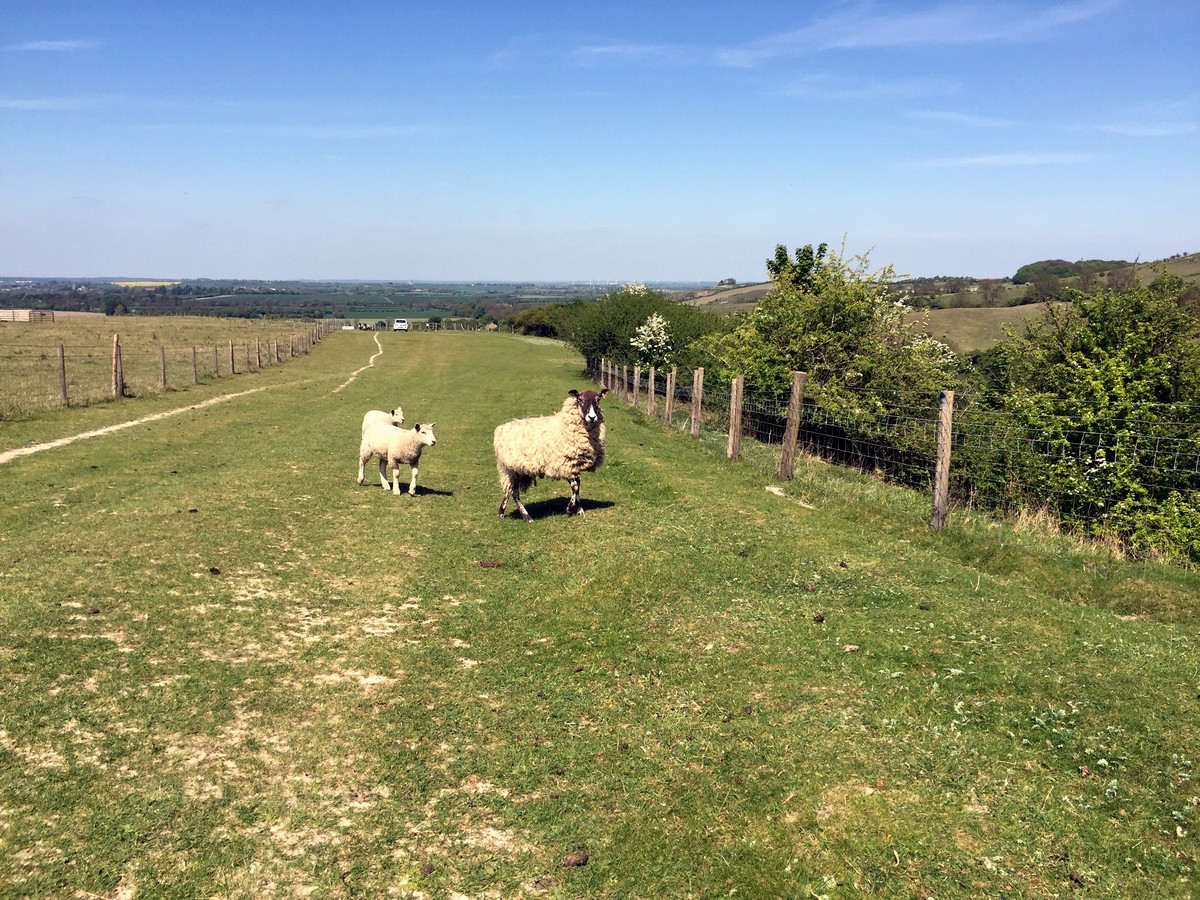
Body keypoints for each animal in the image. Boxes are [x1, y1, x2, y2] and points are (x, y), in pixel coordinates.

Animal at [494, 386, 609, 520]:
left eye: (598, 399)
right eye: (580, 399)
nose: (592, 417)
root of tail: (501, 429)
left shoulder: (573, 465)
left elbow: (578, 486)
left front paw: (579, 509)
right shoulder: (565, 464)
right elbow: (575, 486)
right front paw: (570, 508)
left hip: (517, 471)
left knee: (509, 490)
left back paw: (501, 512)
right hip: (511, 469)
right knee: (514, 493)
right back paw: (527, 517)